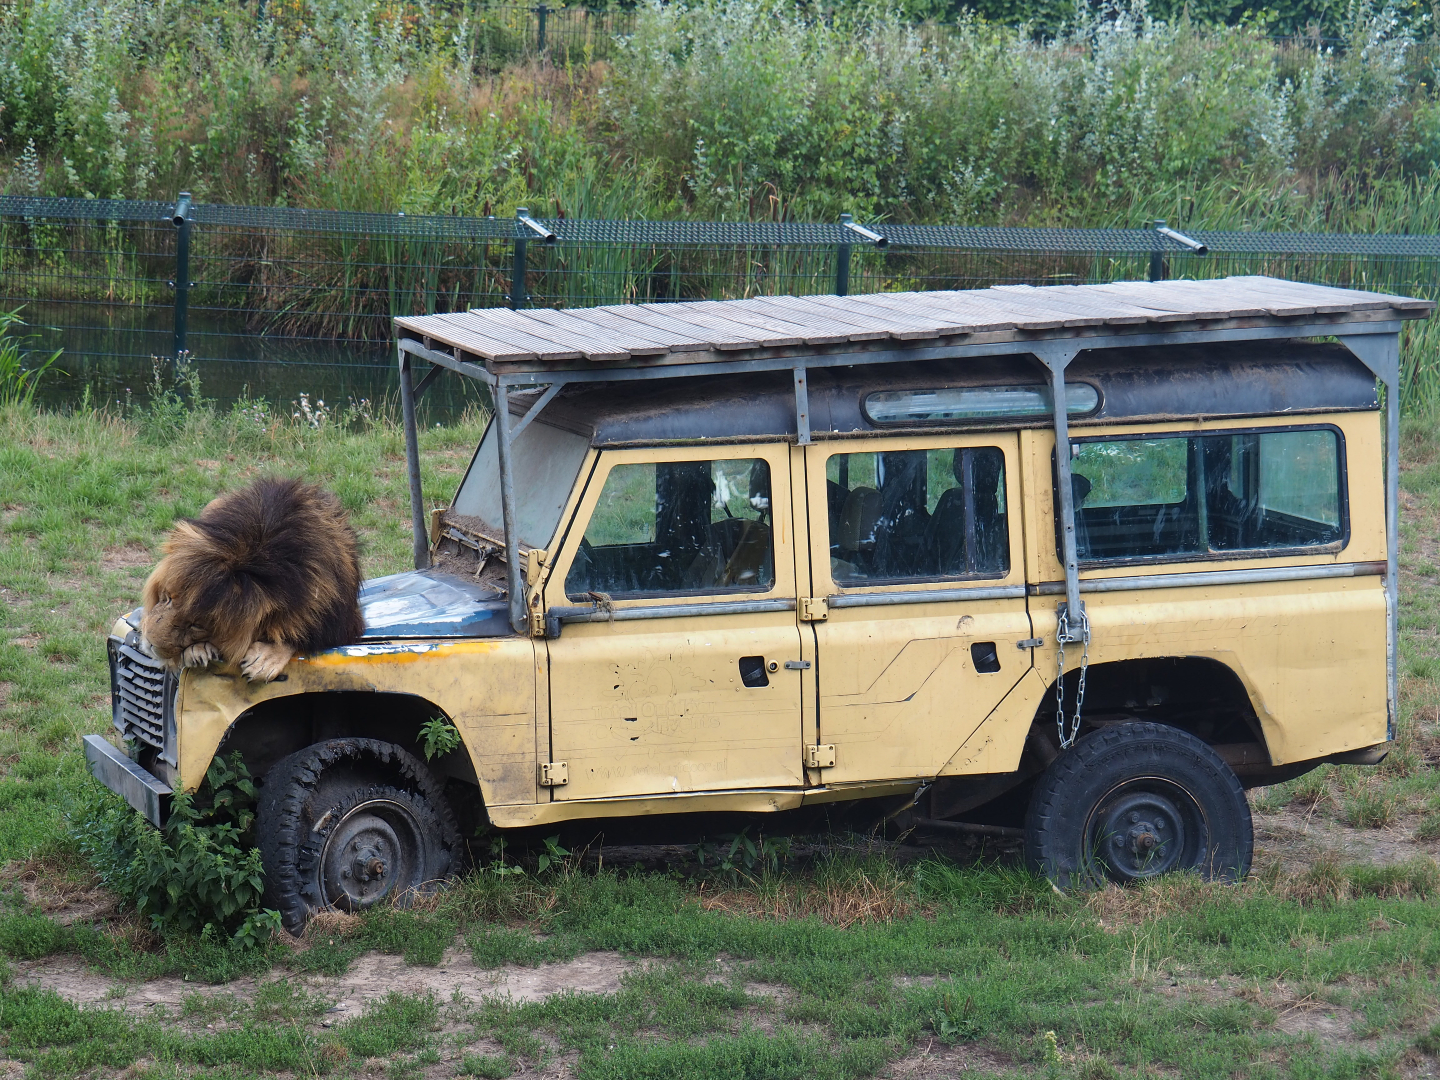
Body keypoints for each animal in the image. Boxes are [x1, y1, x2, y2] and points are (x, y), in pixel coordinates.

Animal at [140, 477, 365, 683]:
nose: (149, 641)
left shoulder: (341, 623)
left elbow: (299, 634)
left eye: (196, 625)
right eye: (167, 598)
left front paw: (265, 659)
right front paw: (196, 650)